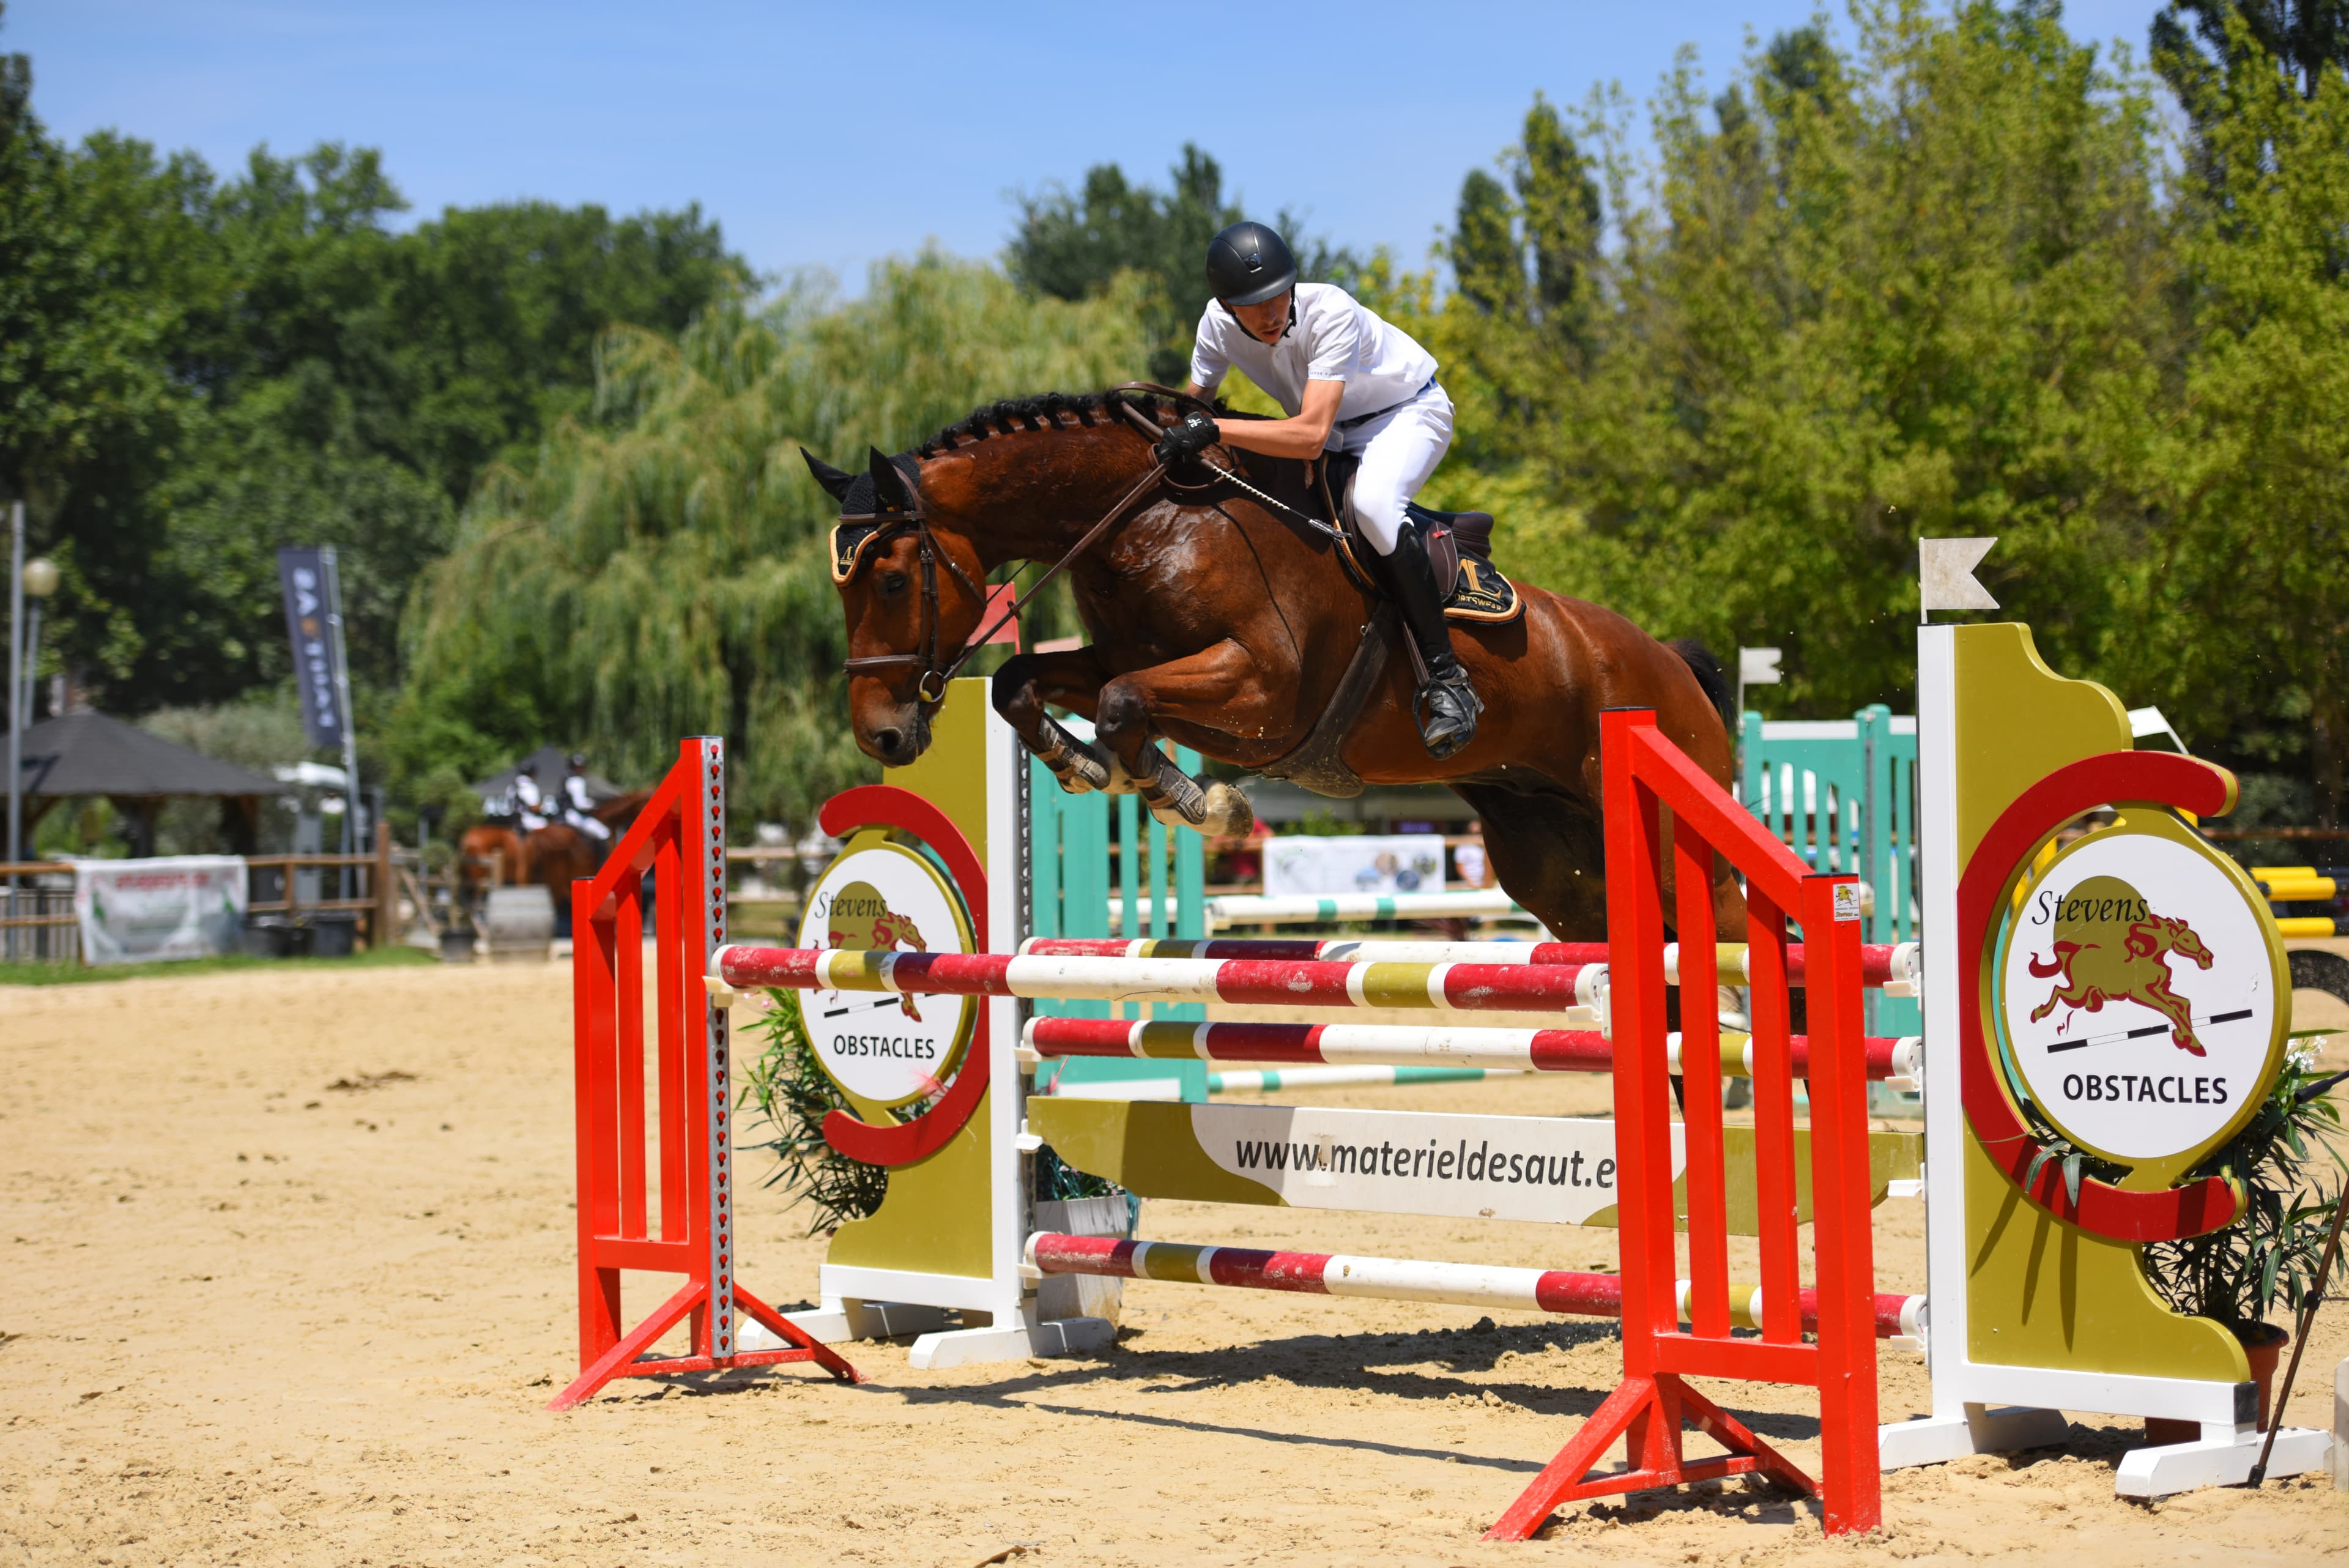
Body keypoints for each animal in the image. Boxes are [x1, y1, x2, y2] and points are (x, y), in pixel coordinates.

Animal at [804, 389, 1742, 943]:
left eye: (892, 579)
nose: (881, 736)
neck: (1152, 516)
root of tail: (1672, 666)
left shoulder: (1261, 691)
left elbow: (1121, 703)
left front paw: (1191, 799)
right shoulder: (1126, 657)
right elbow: (1023, 682)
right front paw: (1081, 764)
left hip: (1674, 844)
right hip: (1560, 872)